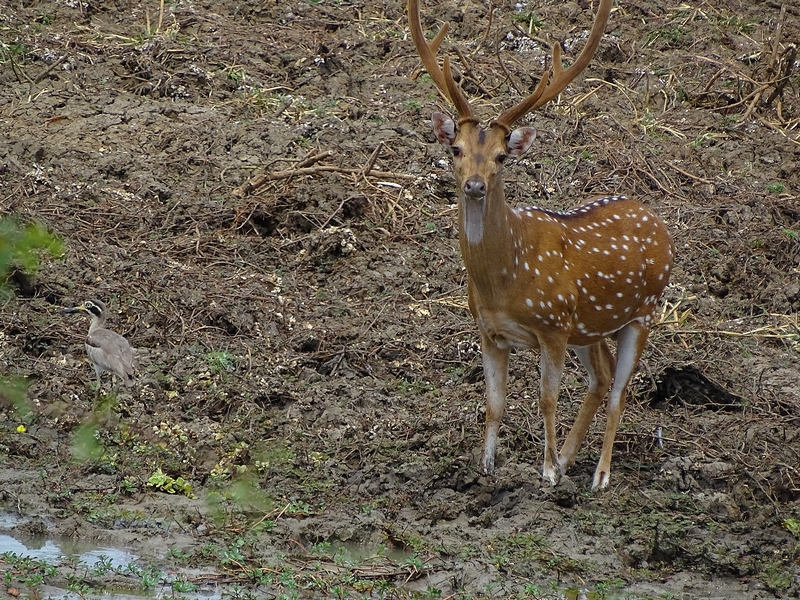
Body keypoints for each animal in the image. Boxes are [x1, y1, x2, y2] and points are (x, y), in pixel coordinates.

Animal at [408, 0, 674, 490]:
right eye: (455, 149)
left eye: (501, 156)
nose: (475, 185)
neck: (504, 281)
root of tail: (656, 219)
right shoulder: (489, 330)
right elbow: (494, 402)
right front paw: (487, 467)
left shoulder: (553, 326)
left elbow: (547, 398)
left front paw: (547, 471)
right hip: (589, 327)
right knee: (602, 376)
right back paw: (571, 458)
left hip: (642, 313)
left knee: (619, 391)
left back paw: (599, 475)